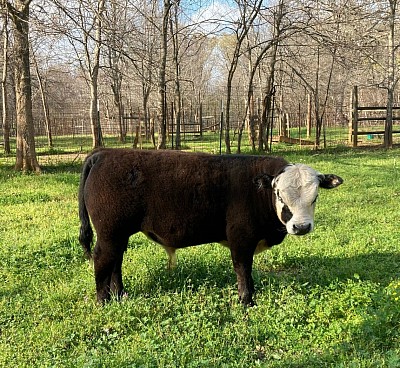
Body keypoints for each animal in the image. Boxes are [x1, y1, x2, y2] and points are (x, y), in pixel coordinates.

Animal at [79, 148, 344, 306]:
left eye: (315, 196)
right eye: (279, 194)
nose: (301, 226)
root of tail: (104, 153)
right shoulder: (241, 239)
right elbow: (243, 270)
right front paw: (247, 301)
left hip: (118, 234)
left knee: (115, 262)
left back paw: (119, 294)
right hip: (110, 233)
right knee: (103, 260)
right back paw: (103, 300)